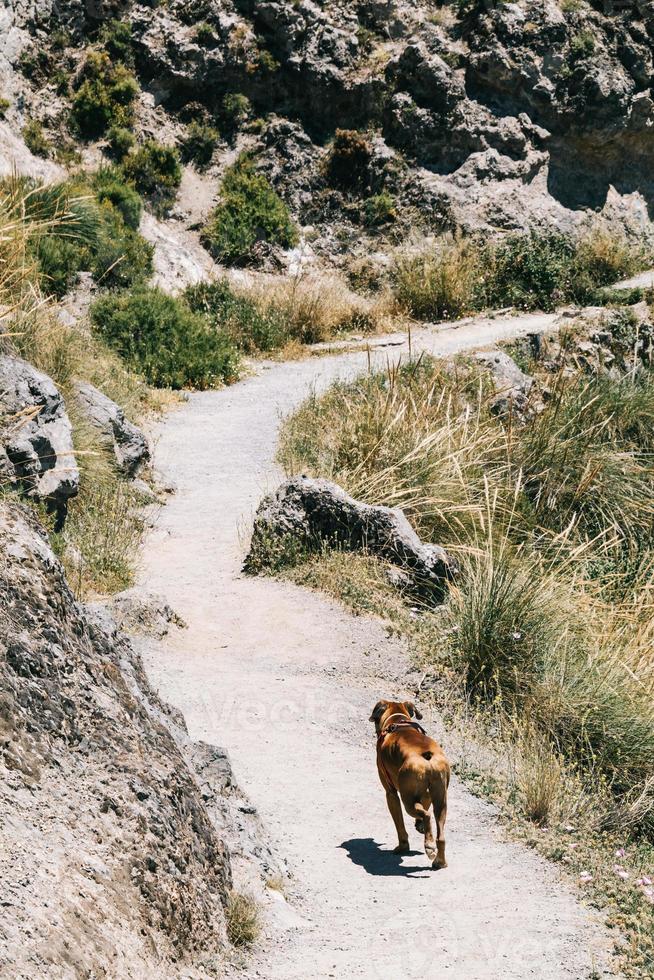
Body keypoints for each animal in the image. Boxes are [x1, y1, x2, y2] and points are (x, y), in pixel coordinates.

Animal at [374, 700, 452, 868]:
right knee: (440, 835)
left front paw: (403, 846)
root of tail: (427, 755)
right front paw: (419, 826)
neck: (397, 721)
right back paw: (439, 860)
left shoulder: (391, 794)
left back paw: (429, 846)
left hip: (407, 801)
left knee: (427, 815)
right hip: (441, 801)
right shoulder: (427, 795)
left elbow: (400, 826)